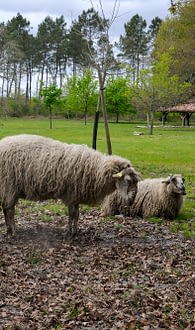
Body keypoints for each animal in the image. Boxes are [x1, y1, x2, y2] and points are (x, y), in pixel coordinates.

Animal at [0, 134, 140, 237]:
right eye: (128, 180)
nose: (131, 201)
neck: (96, 169)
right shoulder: (71, 194)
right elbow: (72, 214)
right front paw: (69, 232)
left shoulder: (75, 196)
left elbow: (76, 215)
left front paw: (75, 231)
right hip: (8, 186)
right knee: (9, 210)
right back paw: (12, 231)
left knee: (7, 209)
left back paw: (11, 229)